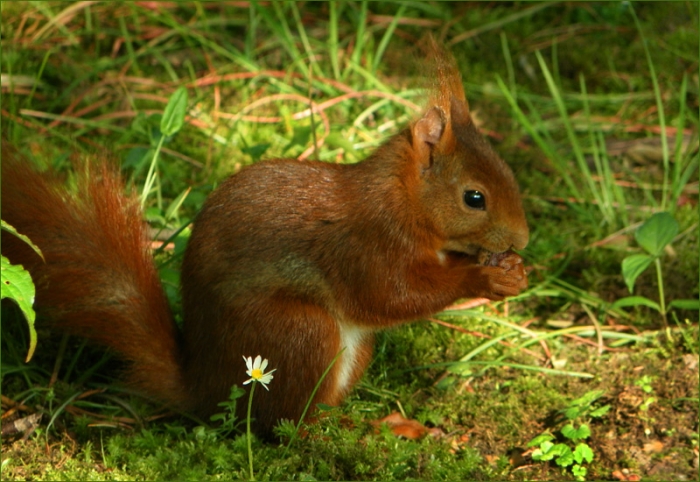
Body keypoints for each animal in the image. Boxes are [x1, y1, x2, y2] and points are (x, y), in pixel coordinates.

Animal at [1, 44, 529, 438]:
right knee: (286, 426)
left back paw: (385, 425)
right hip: (298, 335)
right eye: (474, 197)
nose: (522, 238)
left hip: (349, 350)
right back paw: (343, 435)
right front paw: (481, 278)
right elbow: (392, 296)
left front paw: (511, 271)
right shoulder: (365, 244)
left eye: (509, 172)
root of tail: (204, 388)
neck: (401, 199)